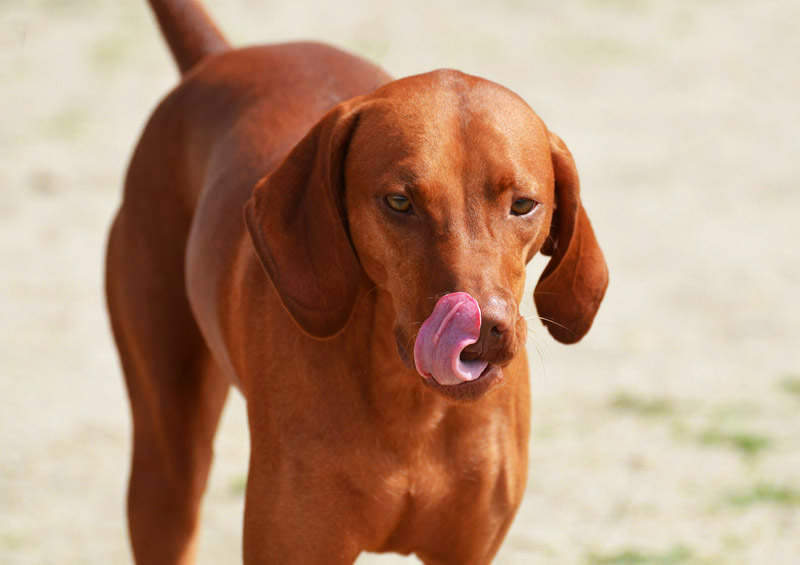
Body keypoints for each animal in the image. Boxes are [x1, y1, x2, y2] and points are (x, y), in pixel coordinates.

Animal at [104, 2, 608, 560]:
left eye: (523, 204)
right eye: (399, 201)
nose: (482, 331)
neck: (413, 406)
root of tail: (219, 57)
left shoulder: (467, 550)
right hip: (166, 467)